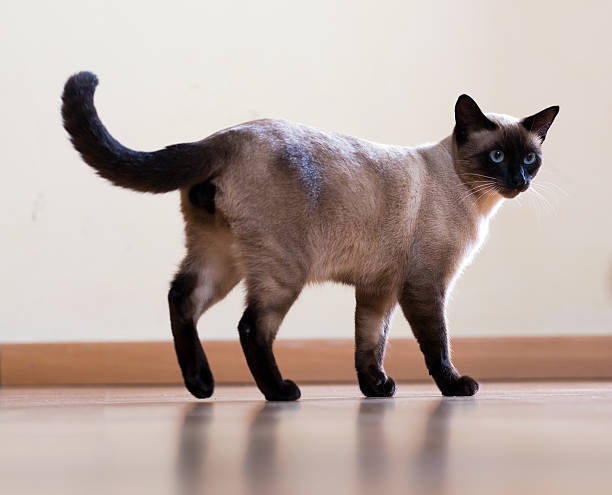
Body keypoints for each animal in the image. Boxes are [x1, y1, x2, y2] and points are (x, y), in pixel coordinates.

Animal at [62, 71, 560, 402]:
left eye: (529, 159)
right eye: (496, 157)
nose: (519, 181)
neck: (473, 197)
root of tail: (223, 138)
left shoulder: (379, 289)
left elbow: (369, 343)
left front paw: (376, 389)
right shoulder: (426, 285)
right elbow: (436, 343)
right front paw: (456, 386)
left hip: (221, 259)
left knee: (181, 298)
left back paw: (201, 384)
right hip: (283, 273)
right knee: (250, 328)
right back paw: (279, 392)